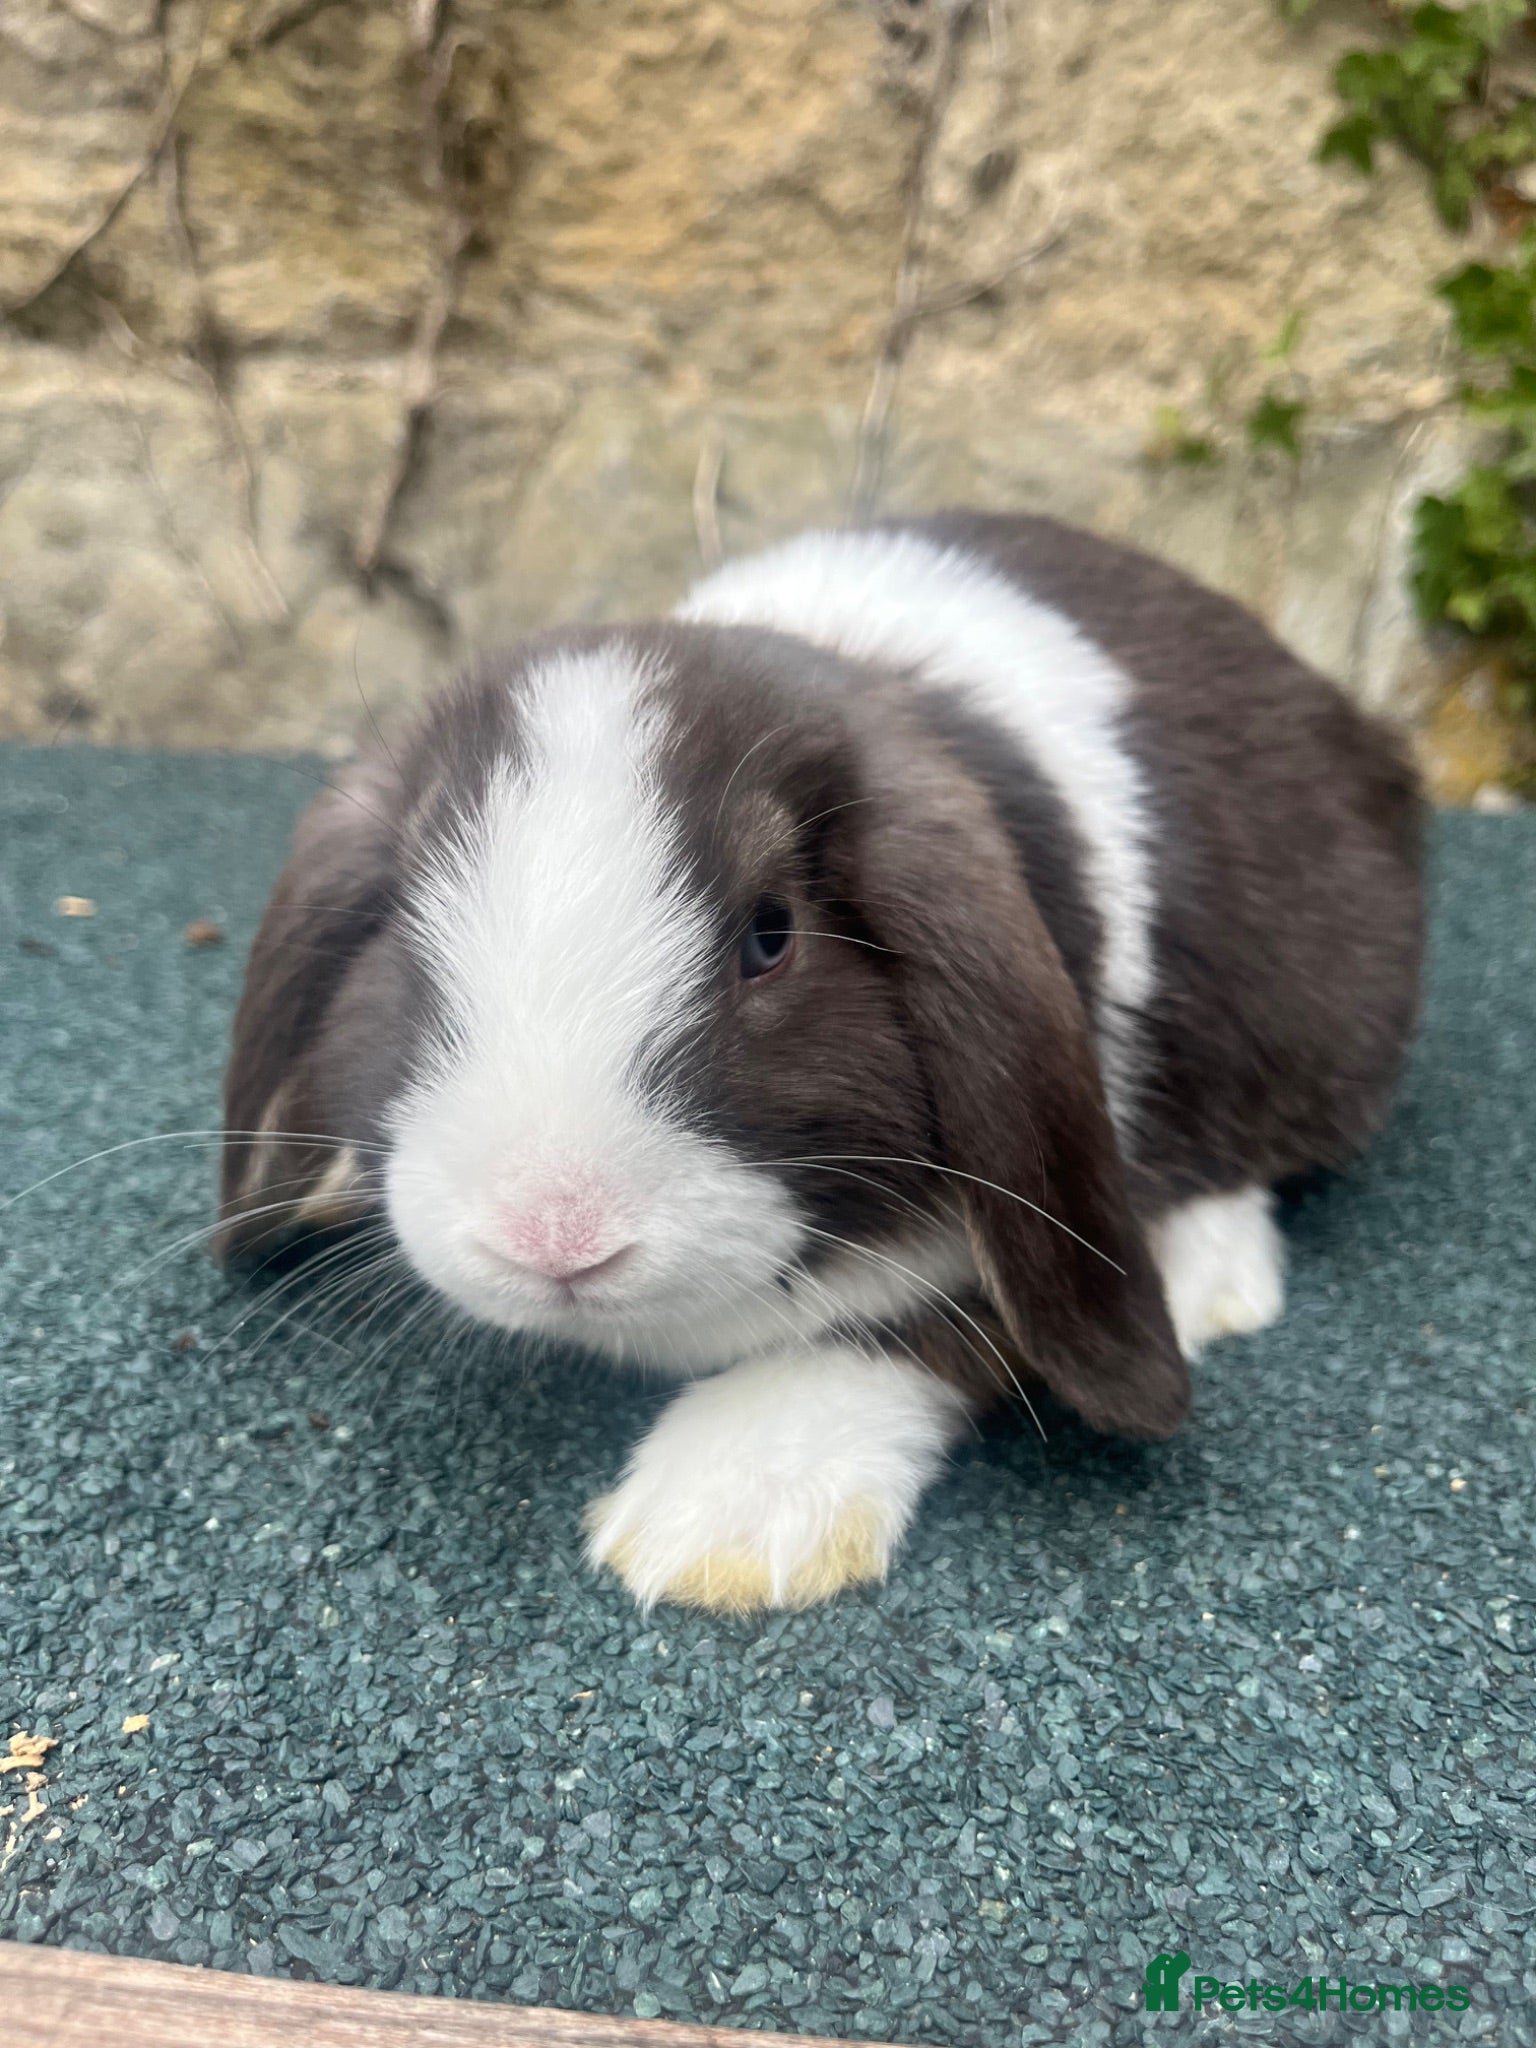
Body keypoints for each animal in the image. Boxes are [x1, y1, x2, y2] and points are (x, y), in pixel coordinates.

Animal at [217, 511, 1424, 1613]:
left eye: (772, 934)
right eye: (407, 921)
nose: (554, 1238)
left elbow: (941, 1327)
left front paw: (725, 1515)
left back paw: (1212, 1283)